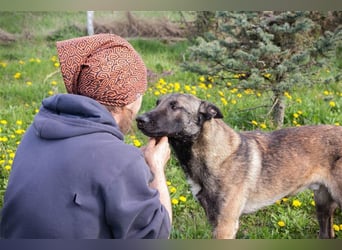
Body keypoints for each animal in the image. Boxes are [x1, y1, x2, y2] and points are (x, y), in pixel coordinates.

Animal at [136, 93, 342, 238]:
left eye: (175, 106)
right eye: (157, 103)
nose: (140, 119)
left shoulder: (225, 226)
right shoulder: (215, 221)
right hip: (322, 205)